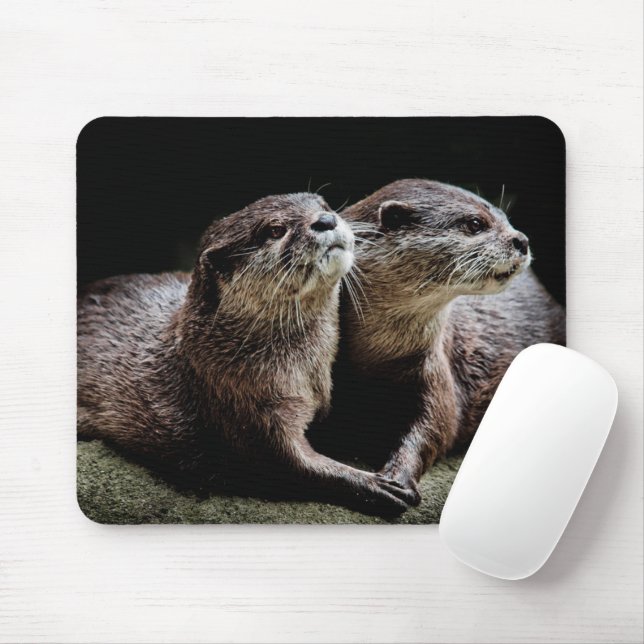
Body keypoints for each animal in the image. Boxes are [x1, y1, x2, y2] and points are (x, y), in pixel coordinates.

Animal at [78, 193, 417, 515]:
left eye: (324, 205)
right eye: (275, 230)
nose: (325, 220)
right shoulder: (243, 407)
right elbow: (288, 465)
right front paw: (374, 484)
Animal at [309, 179, 565, 506]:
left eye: (505, 219)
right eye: (475, 223)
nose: (522, 240)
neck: (377, 356)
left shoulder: (435, 368)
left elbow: (437, 426)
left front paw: (398, 477)